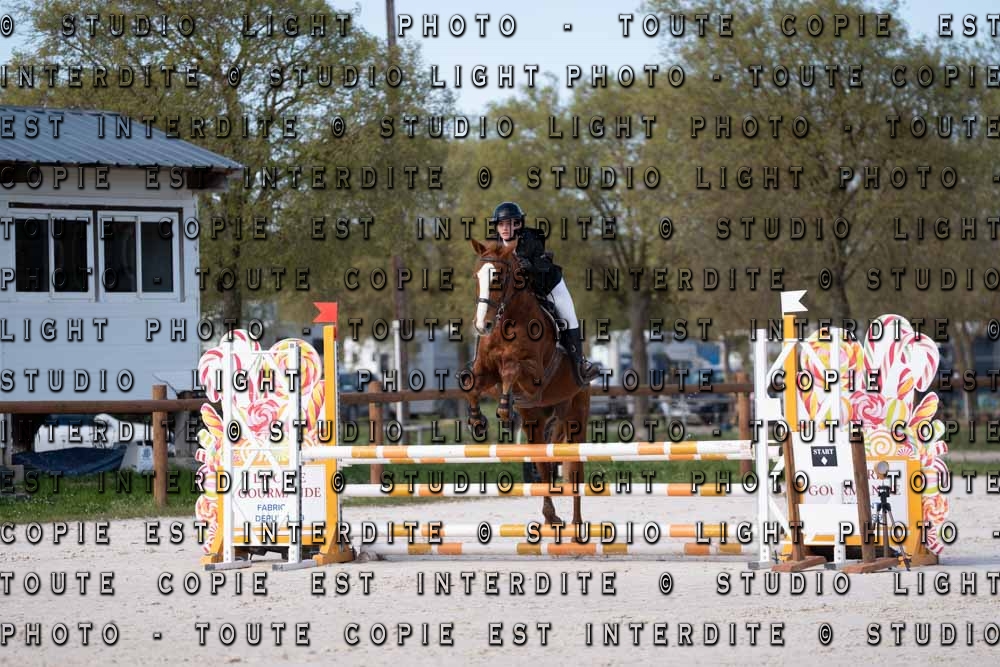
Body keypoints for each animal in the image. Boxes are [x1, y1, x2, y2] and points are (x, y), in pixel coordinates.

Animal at [458, 237, 591, 528]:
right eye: (477, 276)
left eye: (498, 277)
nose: (482, 325)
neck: (507, 322)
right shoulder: (486, 373)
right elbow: (470, 383)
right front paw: (477, 421)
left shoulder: (534, 376)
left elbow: (512, 369)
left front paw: (504, 409)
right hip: (537, 419)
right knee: (543, 464)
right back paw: (551, 515)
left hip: (576, 413)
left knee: (575, 469)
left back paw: (577, 524)